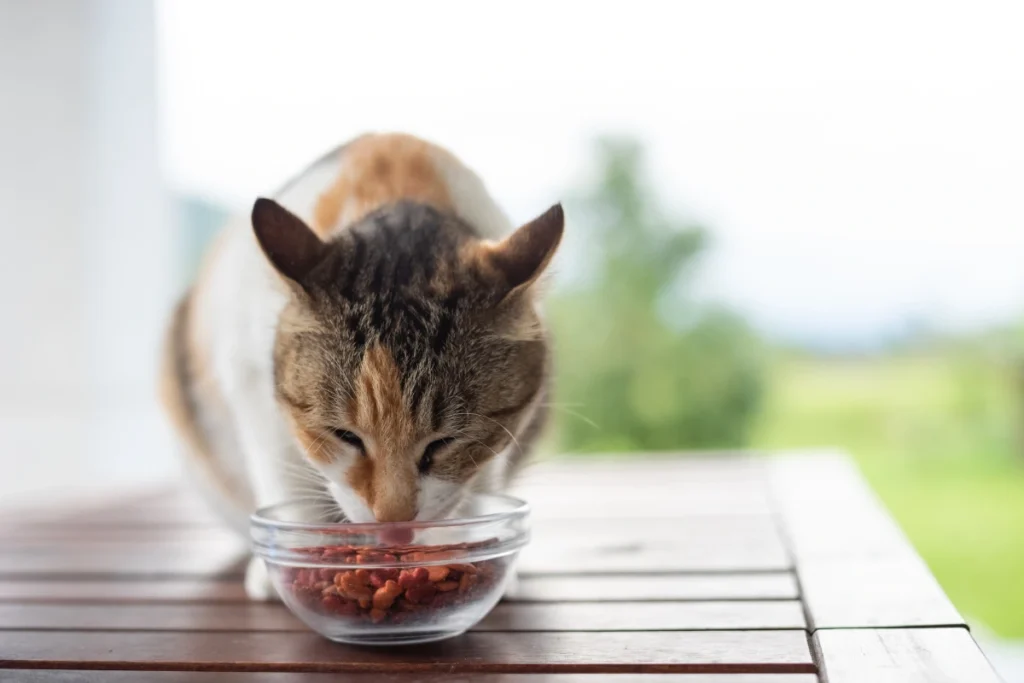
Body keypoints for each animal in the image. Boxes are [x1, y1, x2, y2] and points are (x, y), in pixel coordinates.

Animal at [159, 132, 565, 598]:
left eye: (444, 442)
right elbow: (286, 481)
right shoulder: (250, 383)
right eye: (344, 435)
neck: (395, 181)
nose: (394, 525)